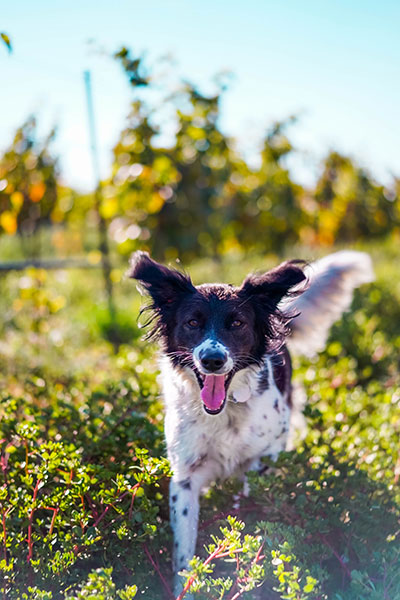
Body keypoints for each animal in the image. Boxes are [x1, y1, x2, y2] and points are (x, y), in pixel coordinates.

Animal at [130, 250, 374, 596]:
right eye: (192, 322)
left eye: (237, 323)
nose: (212, 360)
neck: (224, 413)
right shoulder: (185, 478)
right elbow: (184, 551)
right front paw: (186, 588)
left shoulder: (260, 463)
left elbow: (247, 520)